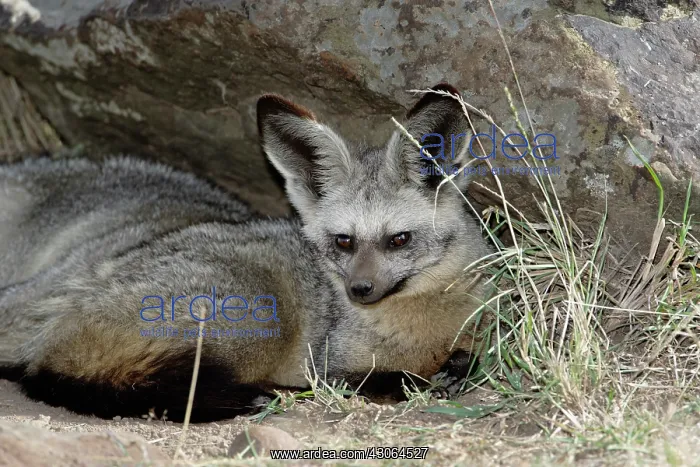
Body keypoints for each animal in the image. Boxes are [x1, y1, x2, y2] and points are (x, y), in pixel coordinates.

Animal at [0, 84, 492, 422]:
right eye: (344, 241)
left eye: (399, 240)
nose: (360, 289)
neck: (422, 327)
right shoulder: (330, 364)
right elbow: (383, 378)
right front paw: (423, 378)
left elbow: (468, 358)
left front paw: (455, 367)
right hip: (258, 320)